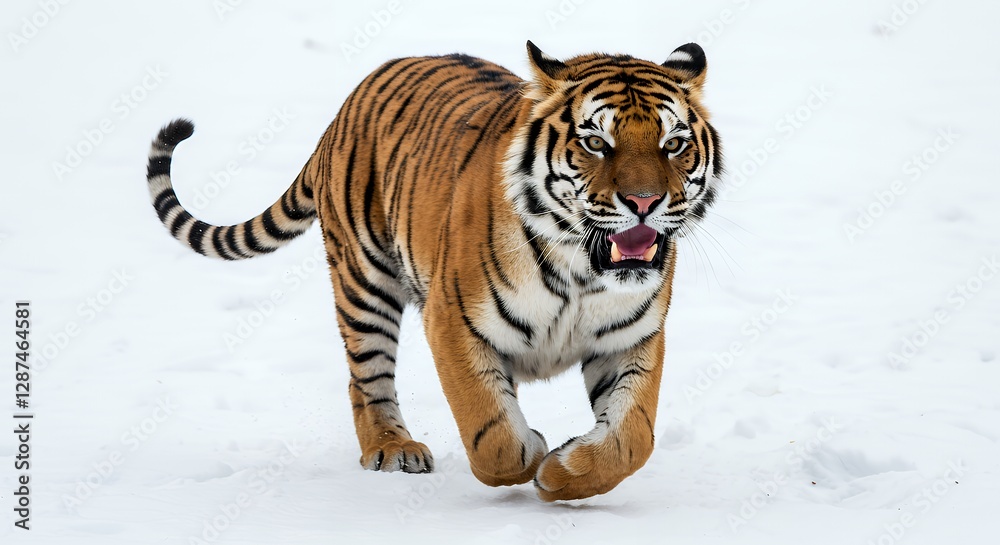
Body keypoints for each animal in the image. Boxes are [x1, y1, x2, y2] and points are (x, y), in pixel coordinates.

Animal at [144, 41, 722, 501]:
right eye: (596, 143)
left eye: (673, 143)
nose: (644, 202)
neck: (581, 270)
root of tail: (346, 106)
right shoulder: (454, 320)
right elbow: (490, 431)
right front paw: (532, 454)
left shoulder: (631, 336)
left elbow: (633, 438)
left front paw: (564, 473)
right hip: (364, 282)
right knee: (366, 380)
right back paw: (392, 448)